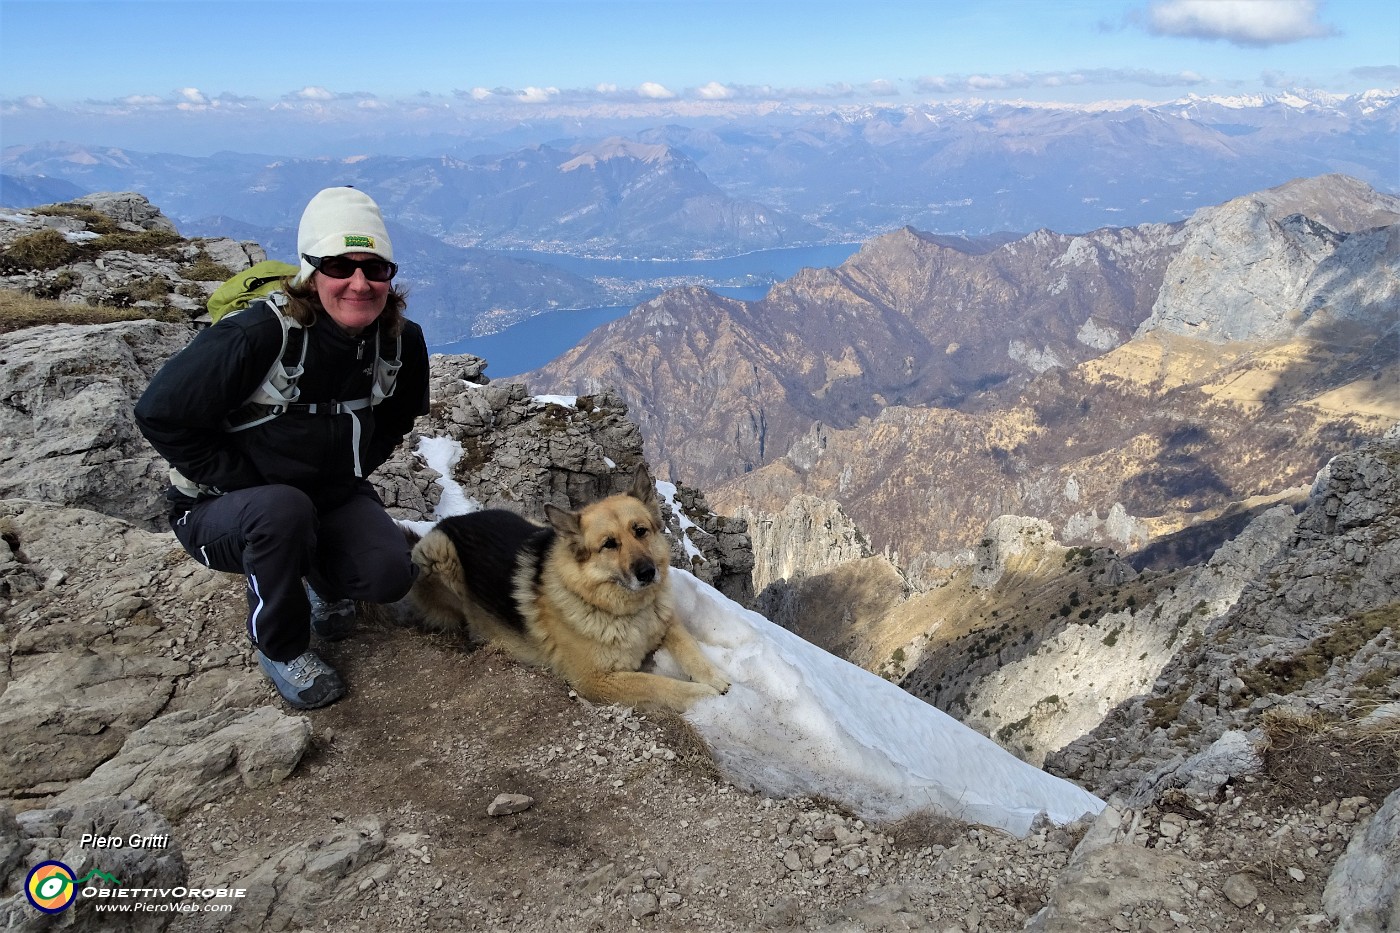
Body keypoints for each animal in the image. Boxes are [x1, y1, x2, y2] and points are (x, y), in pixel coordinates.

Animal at [408, 467, 728, 708]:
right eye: (609, 544)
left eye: (640, 531)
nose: (648, 573)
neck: (626, 611)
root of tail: (450, 520)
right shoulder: (595, 680)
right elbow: (656, 684)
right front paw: (705, 697)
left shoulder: (667, 623)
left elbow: (690, 649)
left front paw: (717, 679)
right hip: (440, 553)